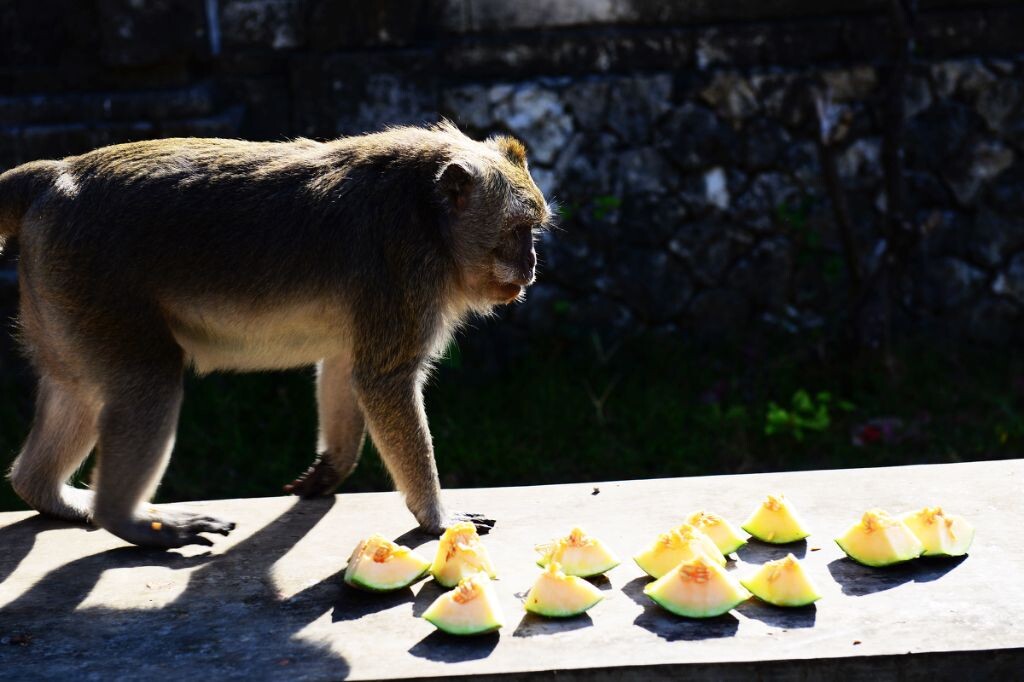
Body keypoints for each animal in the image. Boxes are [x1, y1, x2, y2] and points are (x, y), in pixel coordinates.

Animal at [0, 122, 552, 548]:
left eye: (533, 230)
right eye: (517, 230)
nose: (531, 266)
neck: (428, 216)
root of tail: (56, 176)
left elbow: (346, 367)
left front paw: (330, 469)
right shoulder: (403, 270)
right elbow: (383, 381)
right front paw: (436, 519)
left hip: (60, 295)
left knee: (75, 391)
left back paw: (47, 493)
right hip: (92, 279)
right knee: (147, 381)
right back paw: (131, 522)